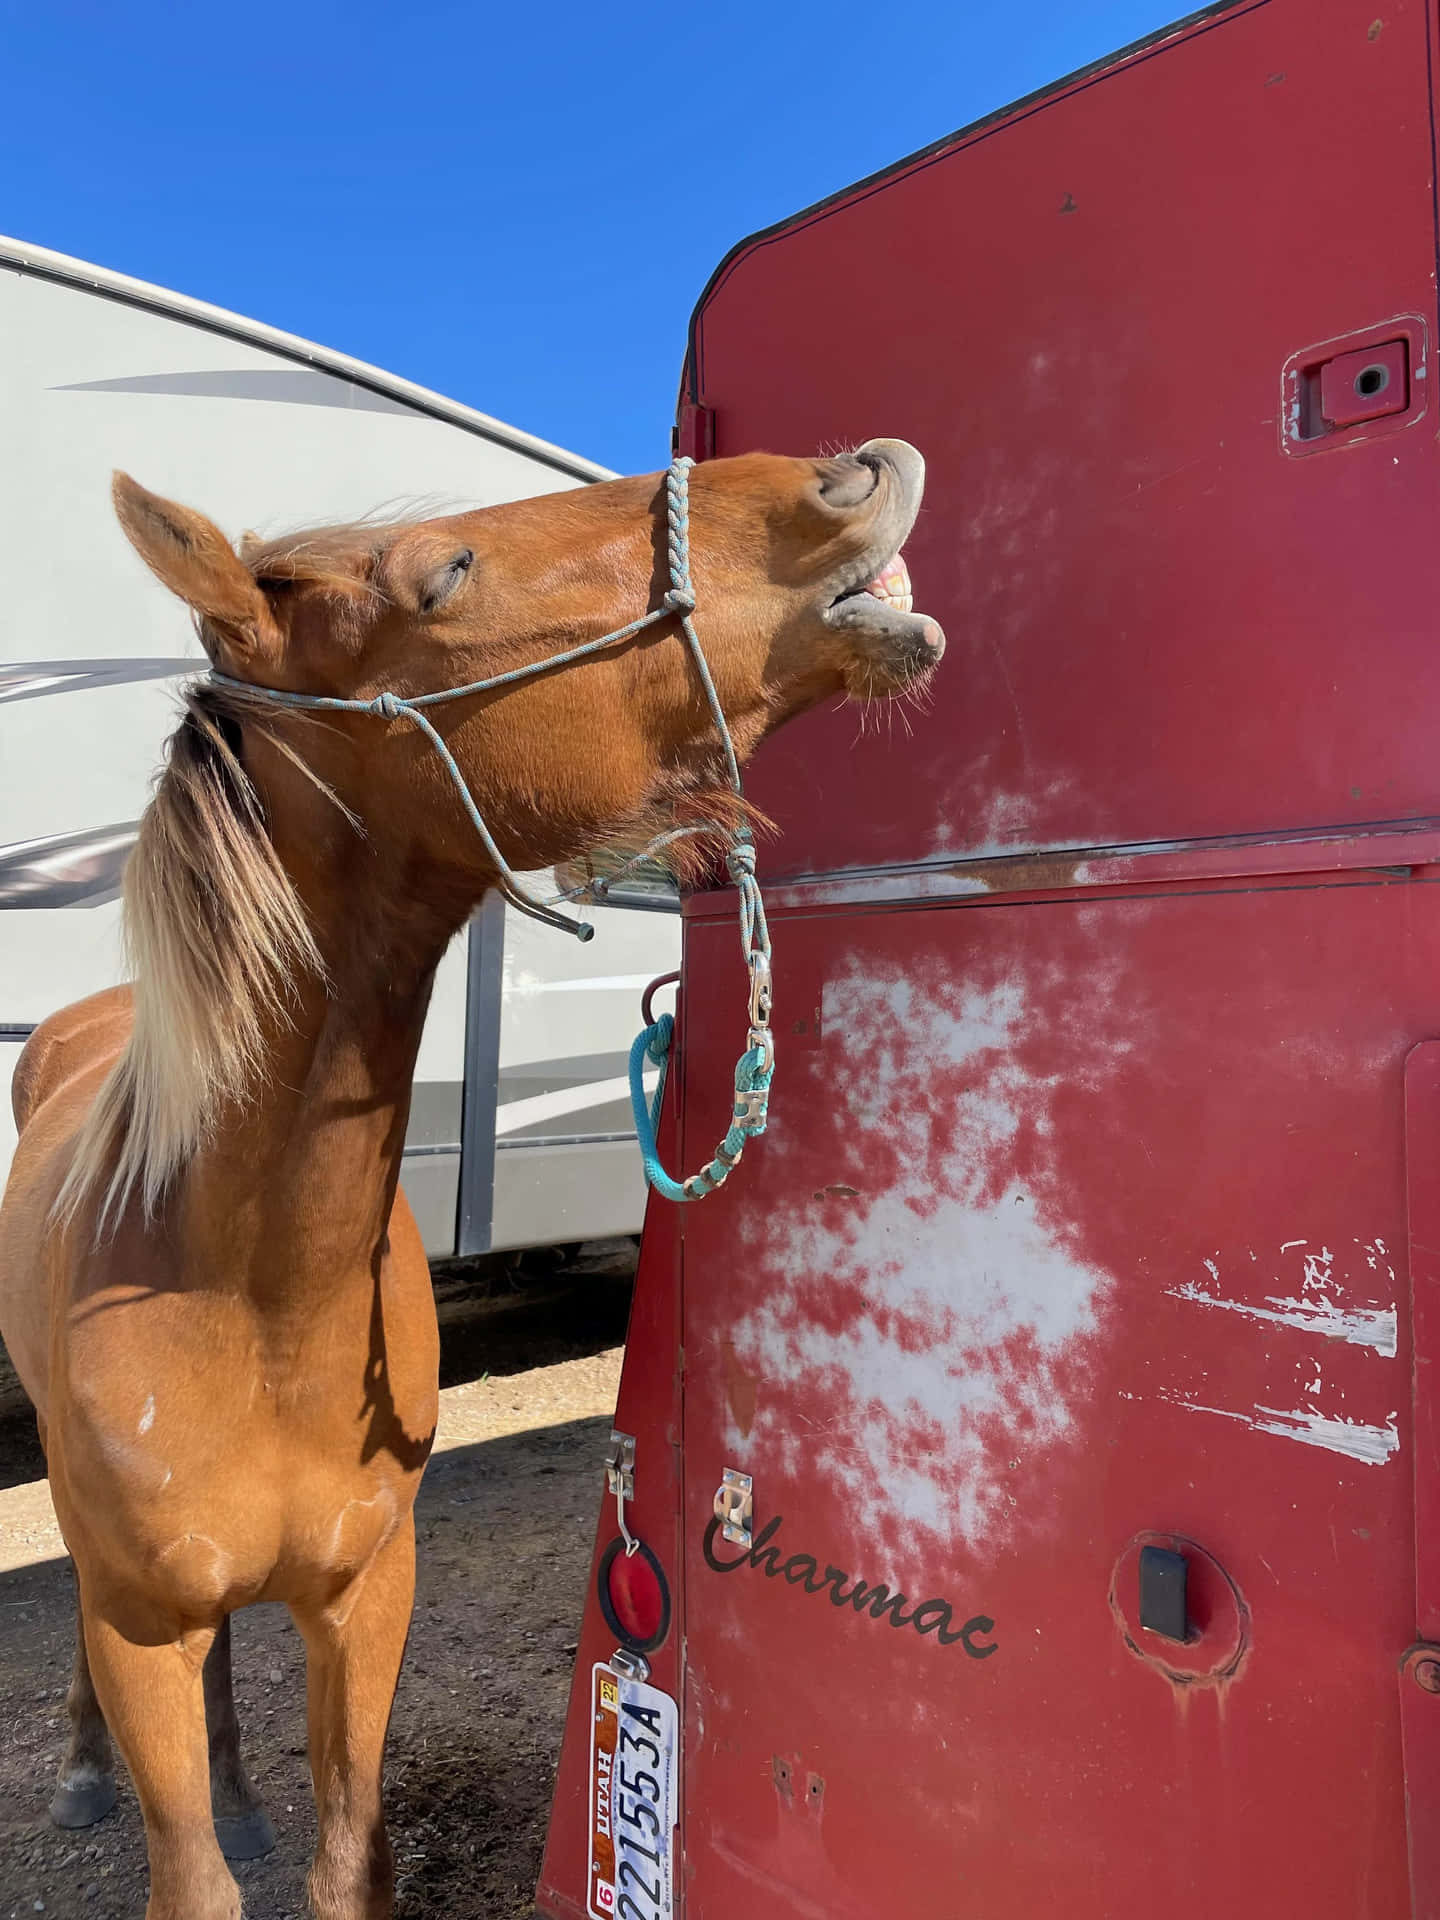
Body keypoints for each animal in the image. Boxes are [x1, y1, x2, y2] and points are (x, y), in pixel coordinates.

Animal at [0, 439, 943, 1920]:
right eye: (445, 572)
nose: (852, 474)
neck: (240, 1298)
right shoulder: (139, 1626)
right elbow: (190, 1874)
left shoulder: (368, 1594)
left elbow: (346, 1860)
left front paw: (273, 1824)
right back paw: (89, 1773)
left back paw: (246, 1796)